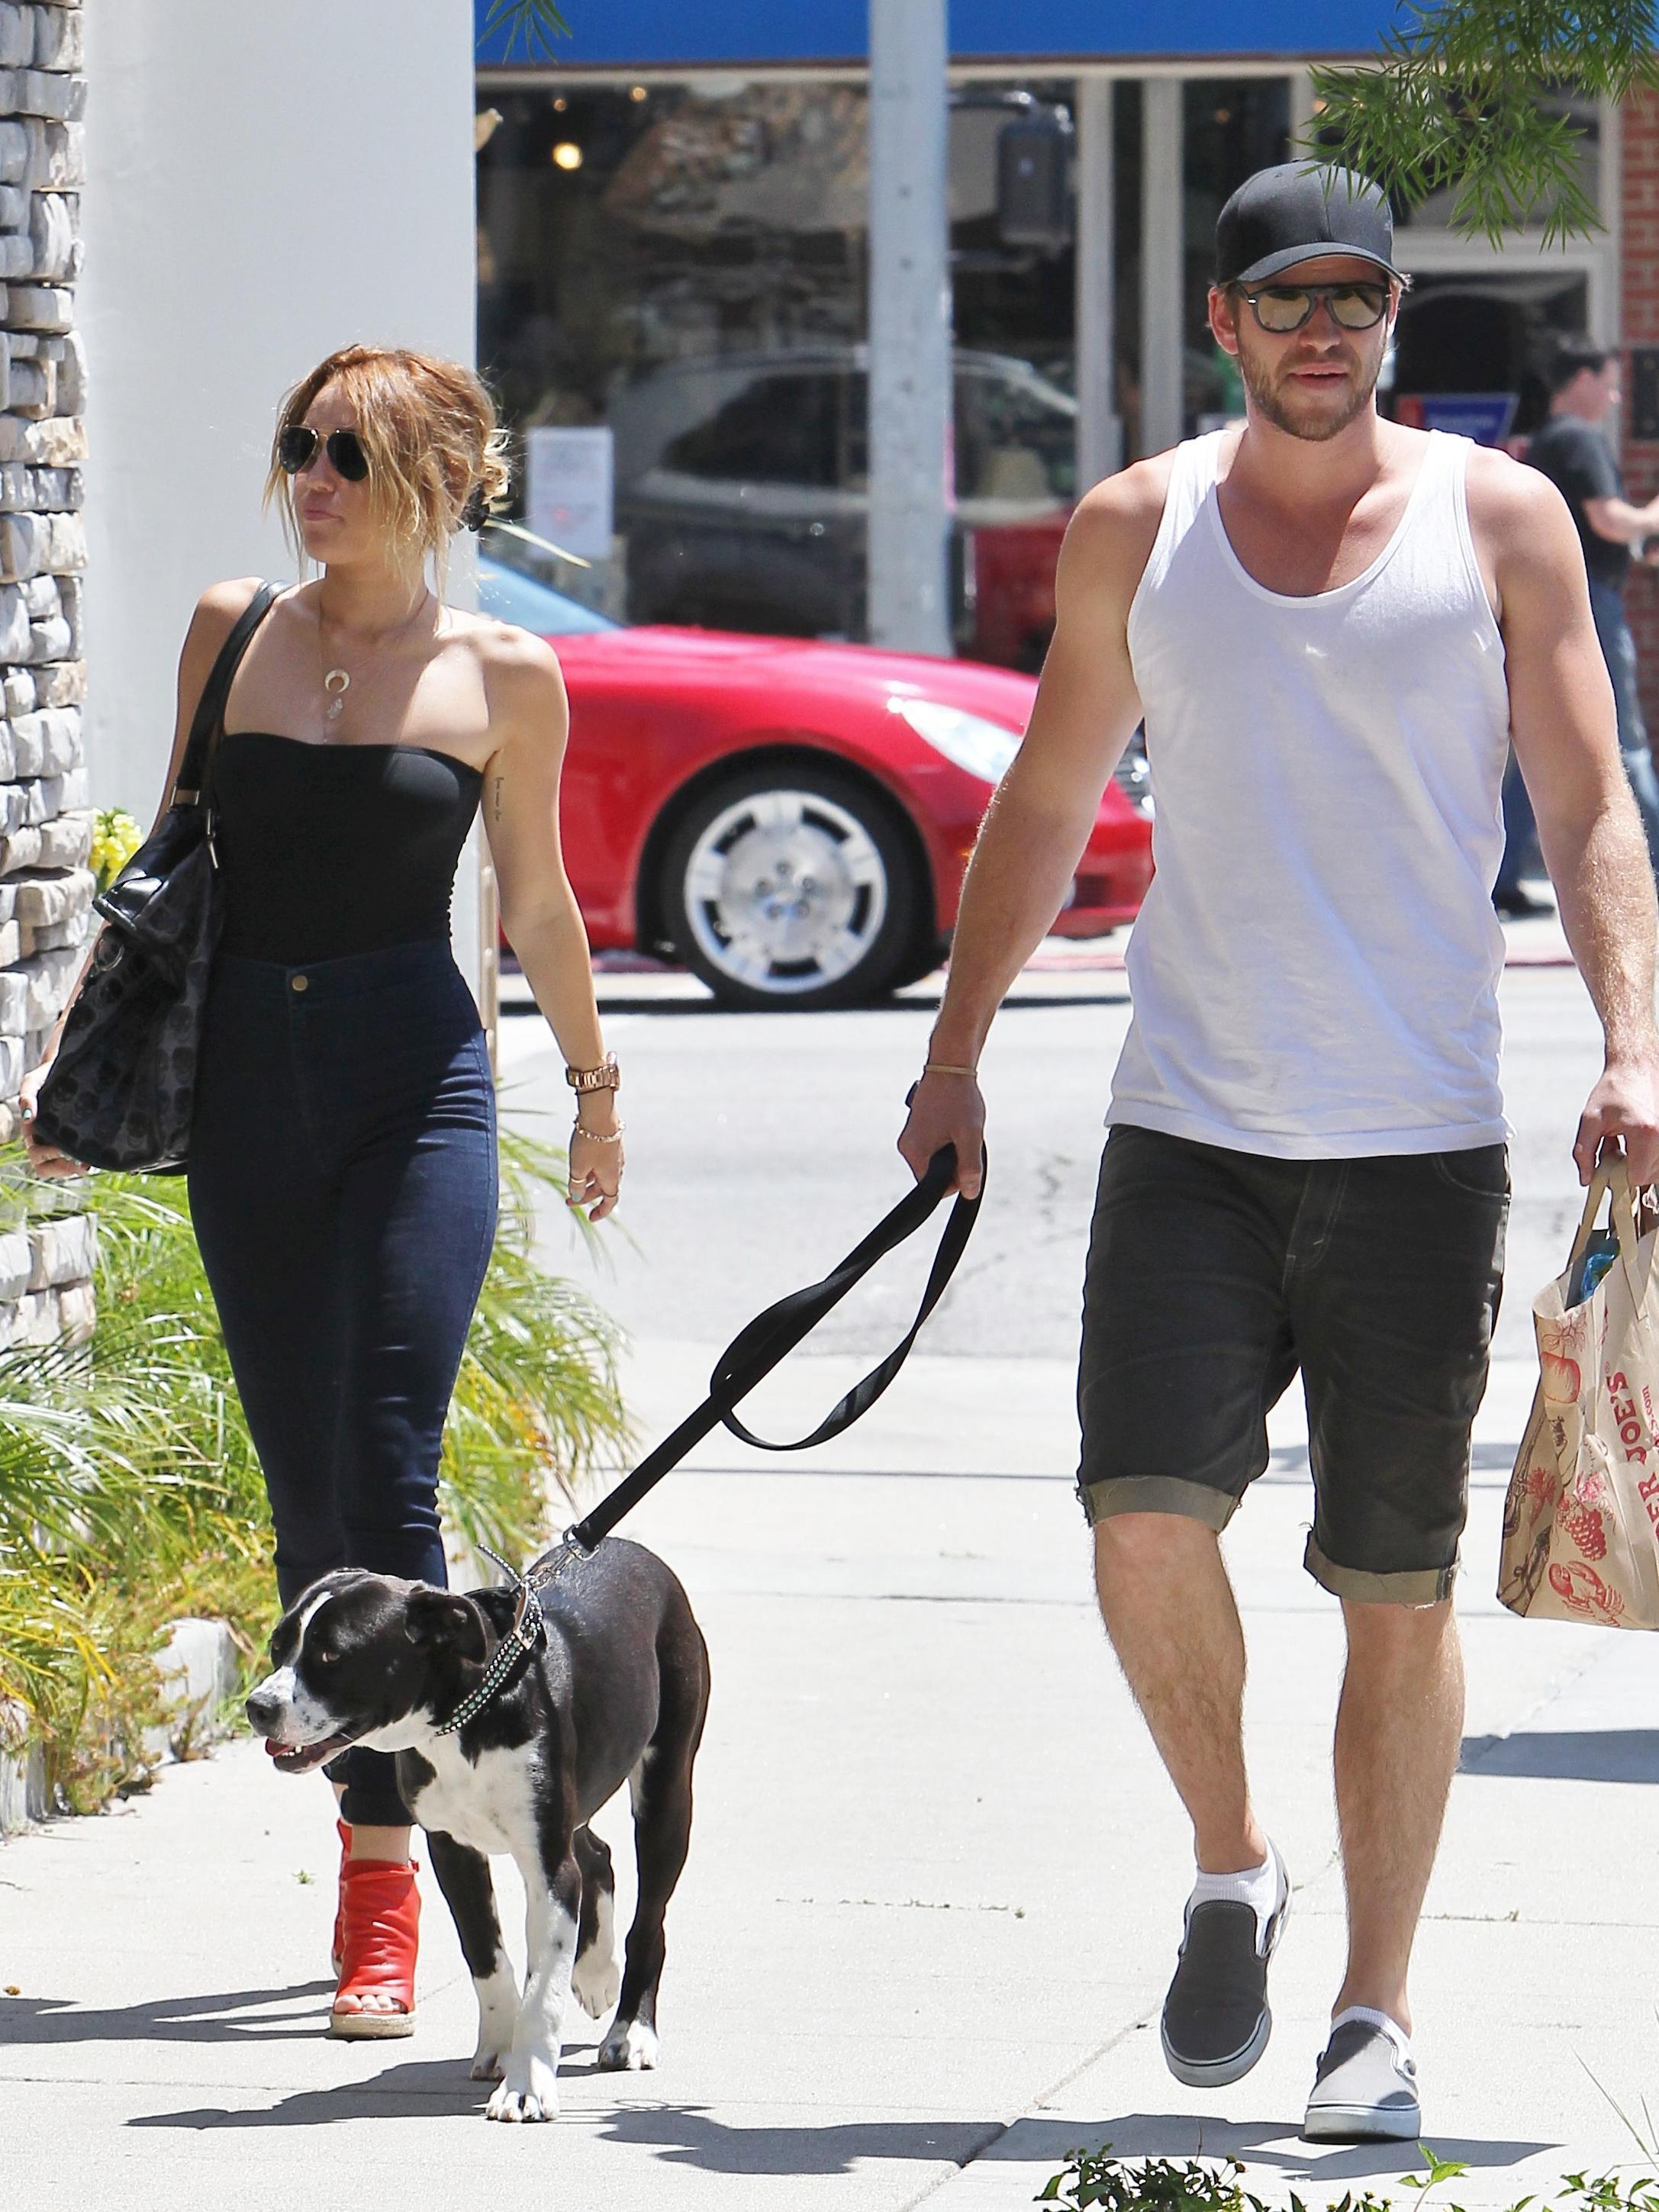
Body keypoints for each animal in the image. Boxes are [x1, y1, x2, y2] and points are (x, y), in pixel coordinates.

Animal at [244, 1538, 710, 2122]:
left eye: (332, 1655)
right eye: (277, 1646)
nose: (257, 1707)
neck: (466, 1719)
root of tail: (633, 1549)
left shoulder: (546, 1868)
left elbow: (542, 1990)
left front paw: (527, 2086)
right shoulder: (453, 1851)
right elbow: (487, 1959)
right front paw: (501, 2047)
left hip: (666, 1792)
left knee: (649, 1919)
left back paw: (631, 2030)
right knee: (597, 1856)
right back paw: (595, 1971)